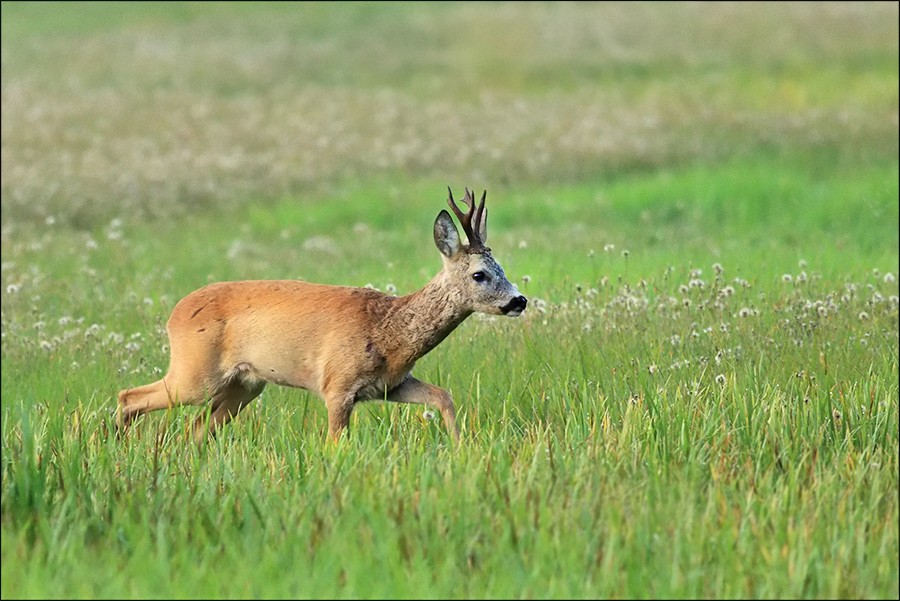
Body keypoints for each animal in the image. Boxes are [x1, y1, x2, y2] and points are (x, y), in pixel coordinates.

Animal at [118, 188, 528, 440]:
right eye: (480, 274)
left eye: (503, 267)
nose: (519, 301)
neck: (389, 331)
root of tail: (175, 314)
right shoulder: (337, 385)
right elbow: (336, 443)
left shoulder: (391, 384)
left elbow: (443, 396)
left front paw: (461, 449)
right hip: (196, 374)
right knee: (129, 396)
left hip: (243, 386)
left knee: (195, 430)